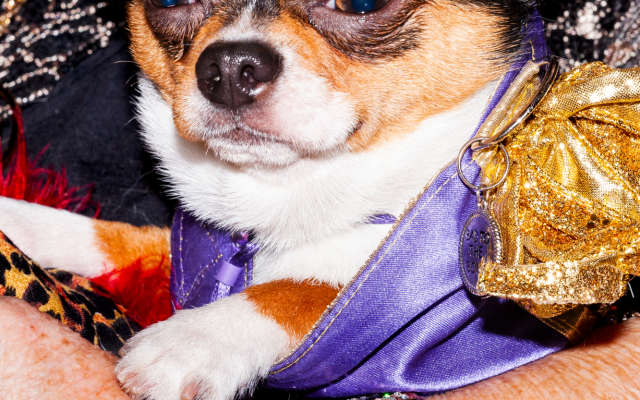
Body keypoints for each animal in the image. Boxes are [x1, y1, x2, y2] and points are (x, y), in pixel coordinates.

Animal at [0, 0, 540, 398]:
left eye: (362, 2)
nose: (228, 66)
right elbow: (131, 238)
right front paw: (23, 225)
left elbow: (314, 290)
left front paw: (195, 339)